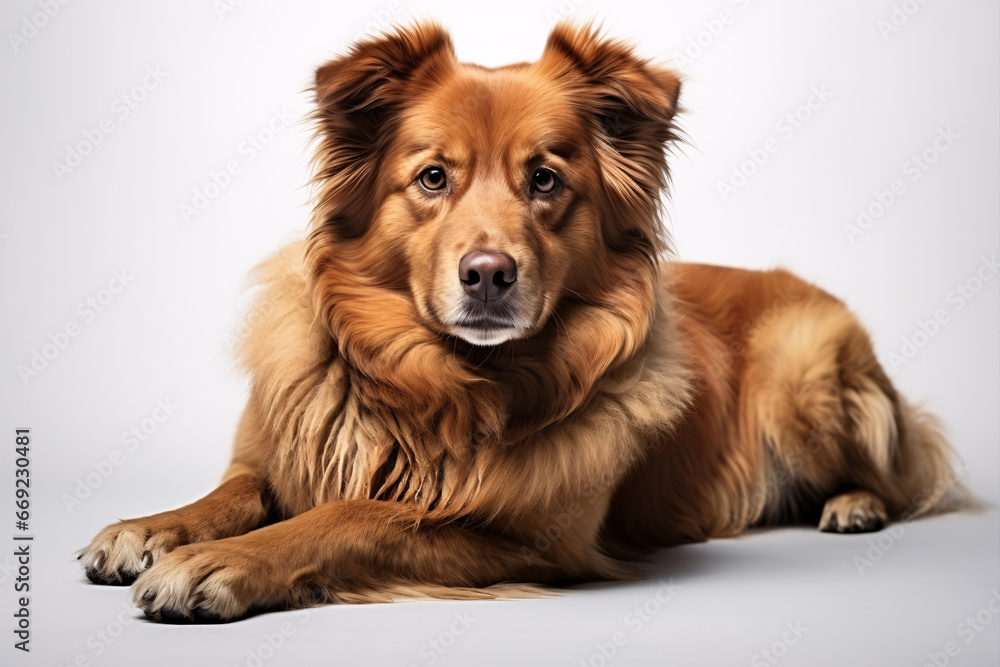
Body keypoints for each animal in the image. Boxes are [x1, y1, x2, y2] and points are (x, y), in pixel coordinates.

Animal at [82, 22, 956, 628]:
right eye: (434, 176)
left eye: (544, 179)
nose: (489, 274)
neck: (429, 385)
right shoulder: (273, 456)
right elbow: (230, 491)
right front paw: (151, 529)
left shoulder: (522, 542)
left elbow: (353, 515)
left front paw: (218, 563)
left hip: (802, 379)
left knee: (911, 474)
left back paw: (854, 504)